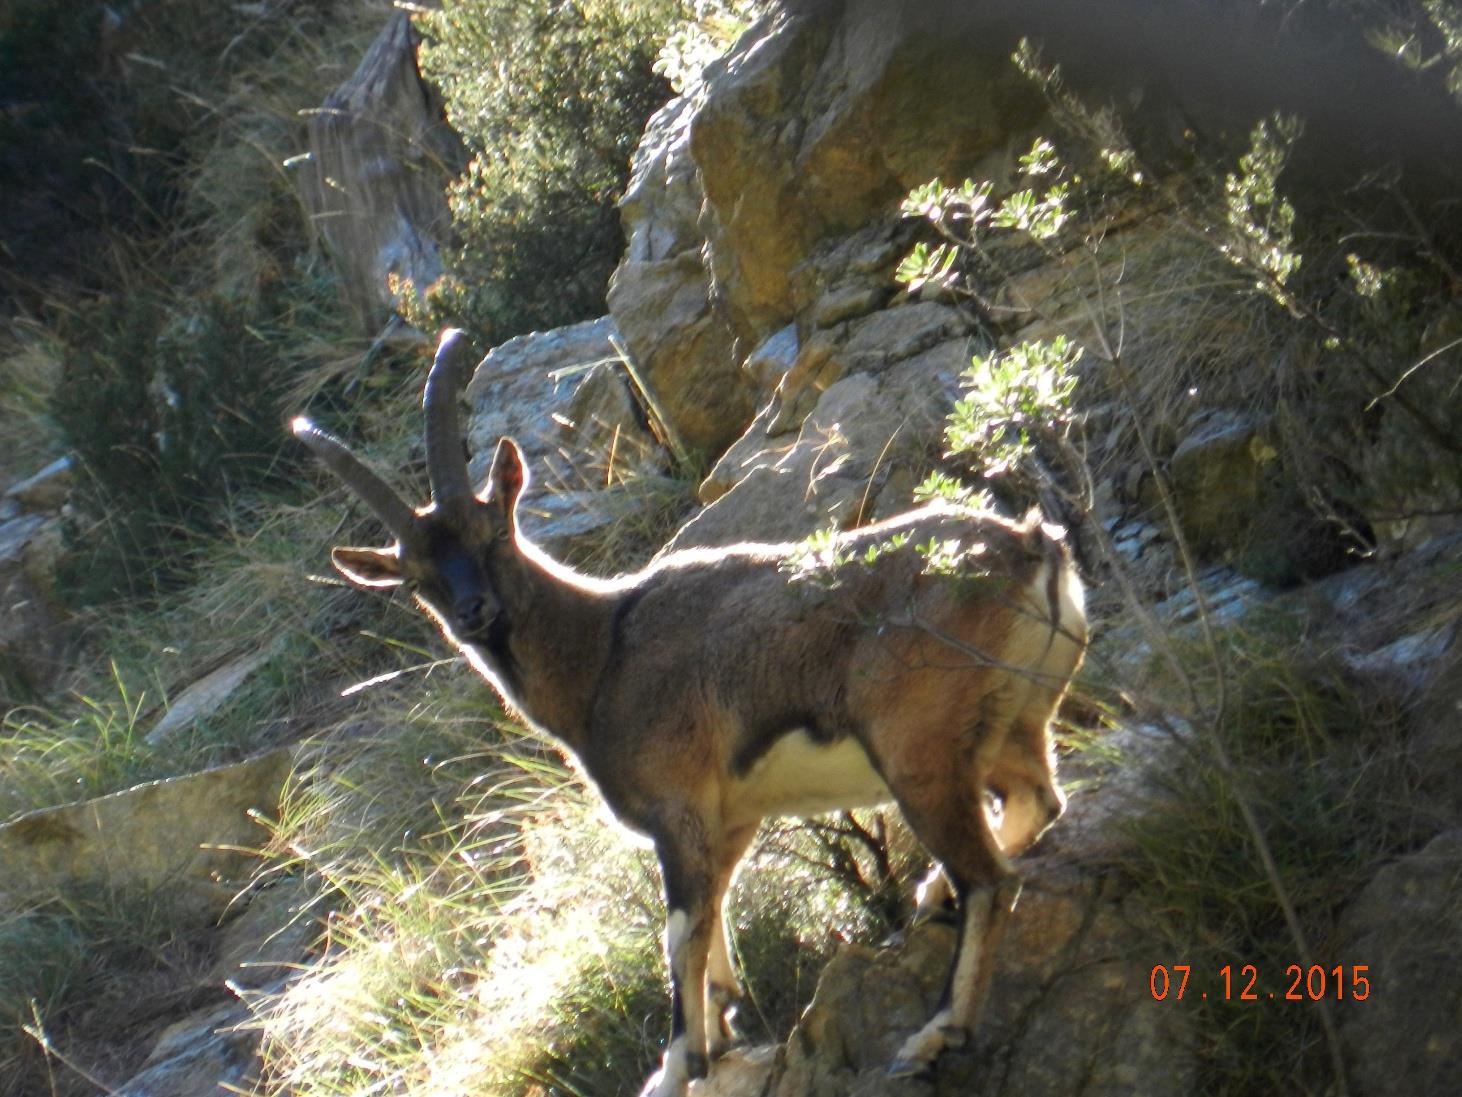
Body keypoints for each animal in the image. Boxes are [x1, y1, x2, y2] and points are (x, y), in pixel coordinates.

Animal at [293, 330, 1087, 1094]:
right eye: (417, 577)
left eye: (495, 530)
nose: (474, 611)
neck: (604, 651)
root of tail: (1032, 550)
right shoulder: (728, 816)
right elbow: (713, 913)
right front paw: (724, 1018)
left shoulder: (679, 808)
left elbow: (677, 933)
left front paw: (679, 1064)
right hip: (1007, 726)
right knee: (1036, 801)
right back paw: (930, 899)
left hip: (915, 751)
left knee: (989, 877)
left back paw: (934, 1032)